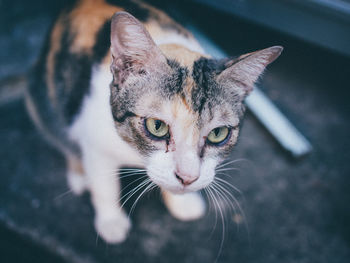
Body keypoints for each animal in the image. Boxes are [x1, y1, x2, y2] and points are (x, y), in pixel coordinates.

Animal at [23, 0, 282, 244]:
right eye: (157, 126)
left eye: (218, 133)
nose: (188, 178)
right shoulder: (93, 136)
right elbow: (105, 184)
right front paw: (111, 221)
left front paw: (183, 203)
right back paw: (79, 174)